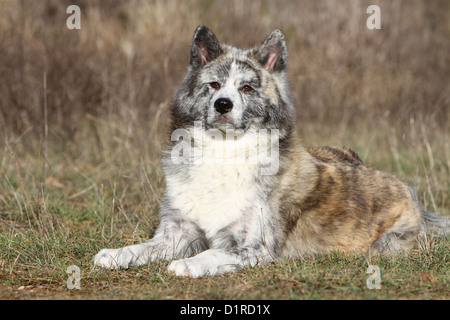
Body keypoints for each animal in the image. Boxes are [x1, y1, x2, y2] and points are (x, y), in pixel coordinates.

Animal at [93, 25, 448, 278]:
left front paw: (189, 264)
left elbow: (213, 252)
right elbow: (141, 248)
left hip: (385, 245)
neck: (224, 151)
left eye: (247, 88)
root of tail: (412, 196)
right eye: (213, 85)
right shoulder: (176, 233)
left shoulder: (256, 247)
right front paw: (114, 254)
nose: (223, 104)